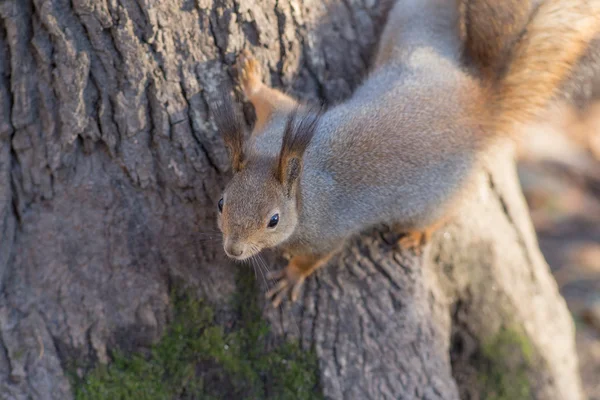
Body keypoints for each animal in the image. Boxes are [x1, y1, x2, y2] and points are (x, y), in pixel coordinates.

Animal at [213, 0, 596, 306]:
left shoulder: (328, 232)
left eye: (273, 221)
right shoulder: (278, 126)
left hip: (436, 195)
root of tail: (480, 105)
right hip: (411, 39)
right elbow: (273, 100)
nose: (233, 250)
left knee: (447, 209)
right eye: (221, 202)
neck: (301, 183)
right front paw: (250, 78)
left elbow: (314, 258)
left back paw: (418, 234)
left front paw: (291, 277)